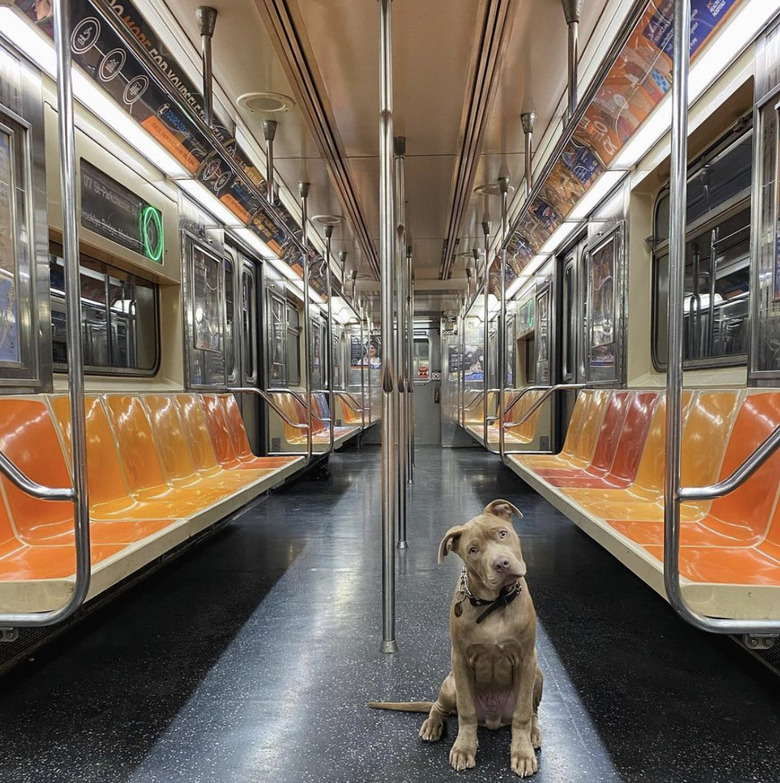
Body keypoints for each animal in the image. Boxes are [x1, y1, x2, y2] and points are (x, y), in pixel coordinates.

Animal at [370, 502, 544, 776]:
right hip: (450, 684)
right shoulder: (460, 660)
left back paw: (534, 734)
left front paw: (522, 753)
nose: (502, 564)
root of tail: (493, 720)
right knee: (439, 707)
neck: (494, 605)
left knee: (532, 711)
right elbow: (466, 712)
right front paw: (464, 749)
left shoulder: (527, 659)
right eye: (473, 550)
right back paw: (432, 725)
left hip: (537, 674)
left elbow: (523, 714)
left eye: (502, 533)